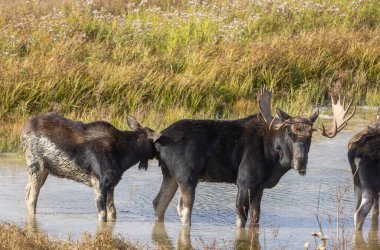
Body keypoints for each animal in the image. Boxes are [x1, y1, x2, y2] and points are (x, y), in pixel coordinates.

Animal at [21, 113, 158, 221]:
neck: (125, 158)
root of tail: (23, 132)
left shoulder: (111, 185)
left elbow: (113, 213)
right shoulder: (99, 183)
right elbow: (103, 215)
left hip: (45, 170)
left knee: (27, 192)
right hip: (36, 166)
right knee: (32, 198)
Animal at [153, 85, 354, 227]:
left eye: (310, 136)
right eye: (290, 133)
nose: (301, 163)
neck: (276, 161)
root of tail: (158, 139)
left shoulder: (260, 187)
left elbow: (255, 219)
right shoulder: (245, 182)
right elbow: (241, 219)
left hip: (170, 176)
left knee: (158, 203)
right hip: (186, 176)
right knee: (183, 210)